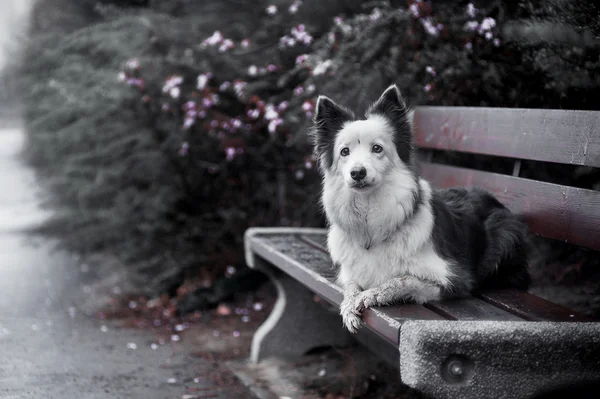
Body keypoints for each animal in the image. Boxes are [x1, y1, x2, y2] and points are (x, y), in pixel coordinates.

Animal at [310, 86, 528, 332]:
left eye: (377, 148)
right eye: (344, 152)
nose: (357, 173)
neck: (372, 218)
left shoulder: (454, 279)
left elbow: (404, 279)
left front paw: (372, 294)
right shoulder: (352, 272)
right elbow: (351, 287)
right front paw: (348, 305)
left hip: (505, 233)